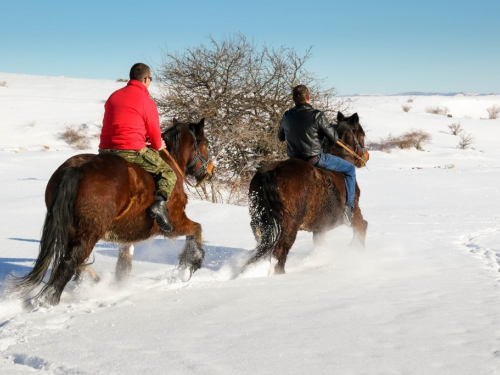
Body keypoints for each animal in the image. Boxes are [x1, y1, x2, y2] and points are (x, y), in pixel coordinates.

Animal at [14, 119, 214, 306]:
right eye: (205, 143)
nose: (209, 172)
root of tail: (77, 169)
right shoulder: (174, 223)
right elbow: (196, 229)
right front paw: (188, 267)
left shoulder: (127, 236)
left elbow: (123, 265)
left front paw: (118, 287)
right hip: (90, 233)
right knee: (70, 262)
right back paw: (48, 301)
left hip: (73, 229)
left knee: (73, 260)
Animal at [242, 112, 368, 276]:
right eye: (362, 134)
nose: (364, 158)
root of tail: (271, 172)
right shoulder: (353, 213)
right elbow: (362, 227)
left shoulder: (320, 228)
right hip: (289, 227)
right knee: (279, 253)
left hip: (261, 225)